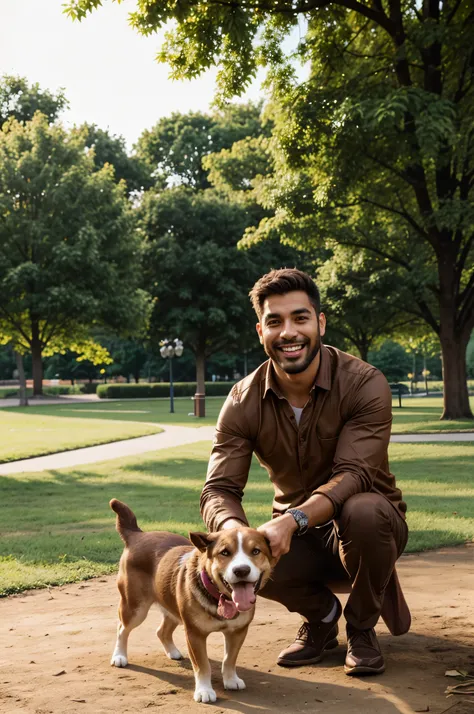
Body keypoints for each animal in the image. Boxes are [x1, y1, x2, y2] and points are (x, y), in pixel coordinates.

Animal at [109, 498, 274, 704]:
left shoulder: (238, 631)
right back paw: (119, 655)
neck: (219, 597)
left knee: (161, 631)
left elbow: (229, 659)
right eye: (225, 552)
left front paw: (231, 679)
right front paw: (204, 690)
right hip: (134, 608)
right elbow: (202, 665)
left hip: (172, 607)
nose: (241, 570)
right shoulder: (195, 634)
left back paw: (172, 652)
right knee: (122, 628)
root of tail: (137, 534)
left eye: (256, 551)